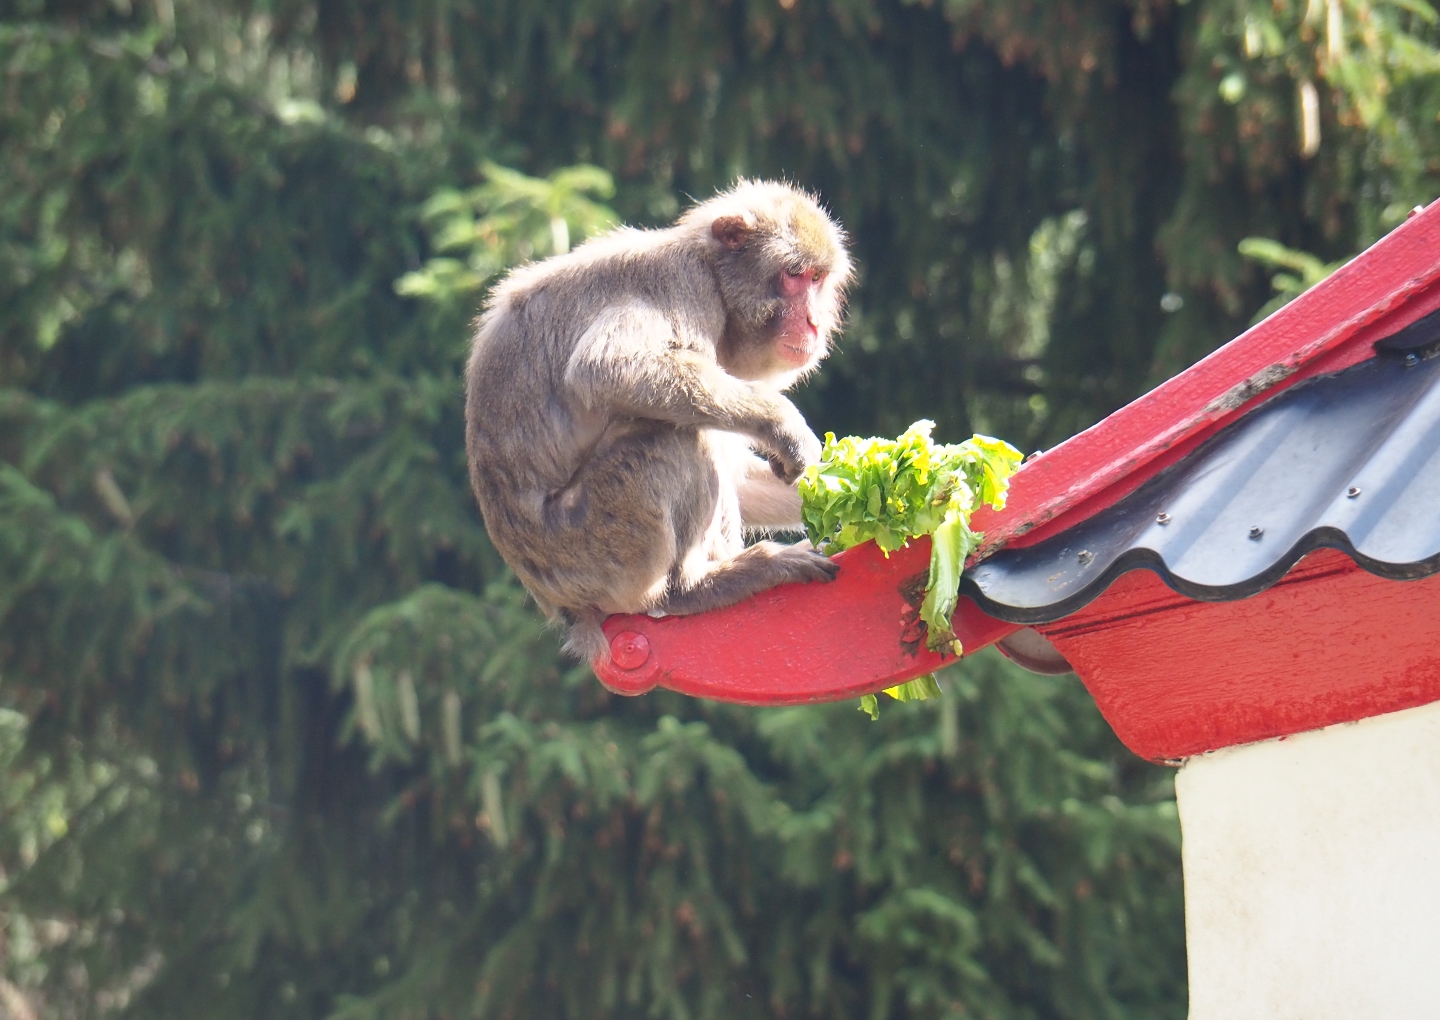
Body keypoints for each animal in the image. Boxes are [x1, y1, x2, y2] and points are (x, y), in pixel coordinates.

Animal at [464, 179, 853, 665]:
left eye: (817, 279)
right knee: (676, 437)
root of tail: (562, 607)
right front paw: (784, 424)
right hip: (597, 548)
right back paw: (694, 587)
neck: (716, 282)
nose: (814, 322)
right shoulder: (684, 286)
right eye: (793, 275)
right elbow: (607, 368)